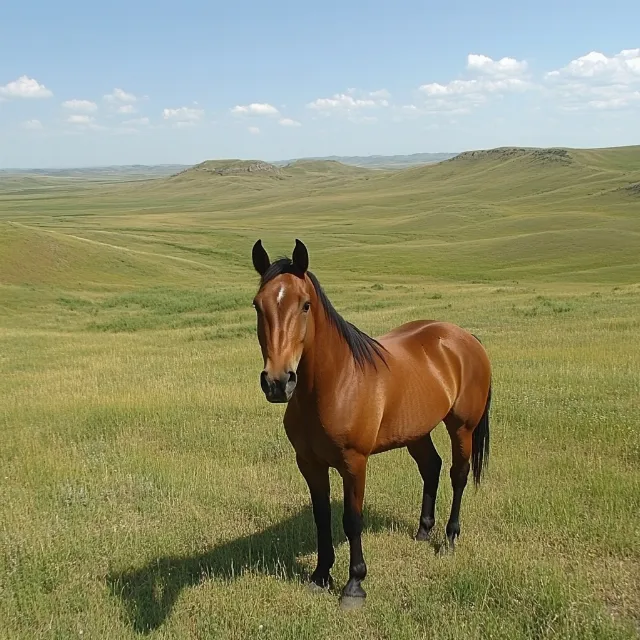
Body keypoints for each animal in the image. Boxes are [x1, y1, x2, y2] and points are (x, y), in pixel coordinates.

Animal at [249, 238, 490, 608]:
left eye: (305, 305)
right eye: (257, 305)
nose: (277, 382)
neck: (335, 384)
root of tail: (464, 338)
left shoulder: (354, 463)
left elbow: (352, 520)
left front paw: (354, 585)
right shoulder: (309, 464)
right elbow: (322, 517)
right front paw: (320, 576)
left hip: (462, 428)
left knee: (458, 475)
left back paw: (449, 540)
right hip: (417, 431)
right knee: (431, 467)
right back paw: (423, 531)